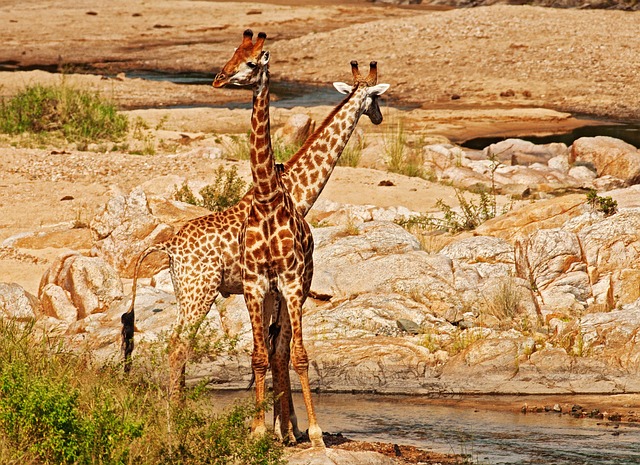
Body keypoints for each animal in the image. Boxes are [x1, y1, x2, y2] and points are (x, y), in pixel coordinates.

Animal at [120, 30, 389, 438]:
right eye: (377, 98)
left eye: (247, 60)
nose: (379, 117)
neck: (294, 189)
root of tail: (168, 247)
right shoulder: (274, 285)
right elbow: (277, 351)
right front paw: (285, 428)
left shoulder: (274, 288)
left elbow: (275, 351)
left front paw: (281, 427)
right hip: (200, 292)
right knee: (180, 345)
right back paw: (177, 420)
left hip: (187, 293)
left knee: (178, 343)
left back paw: (180, 415)